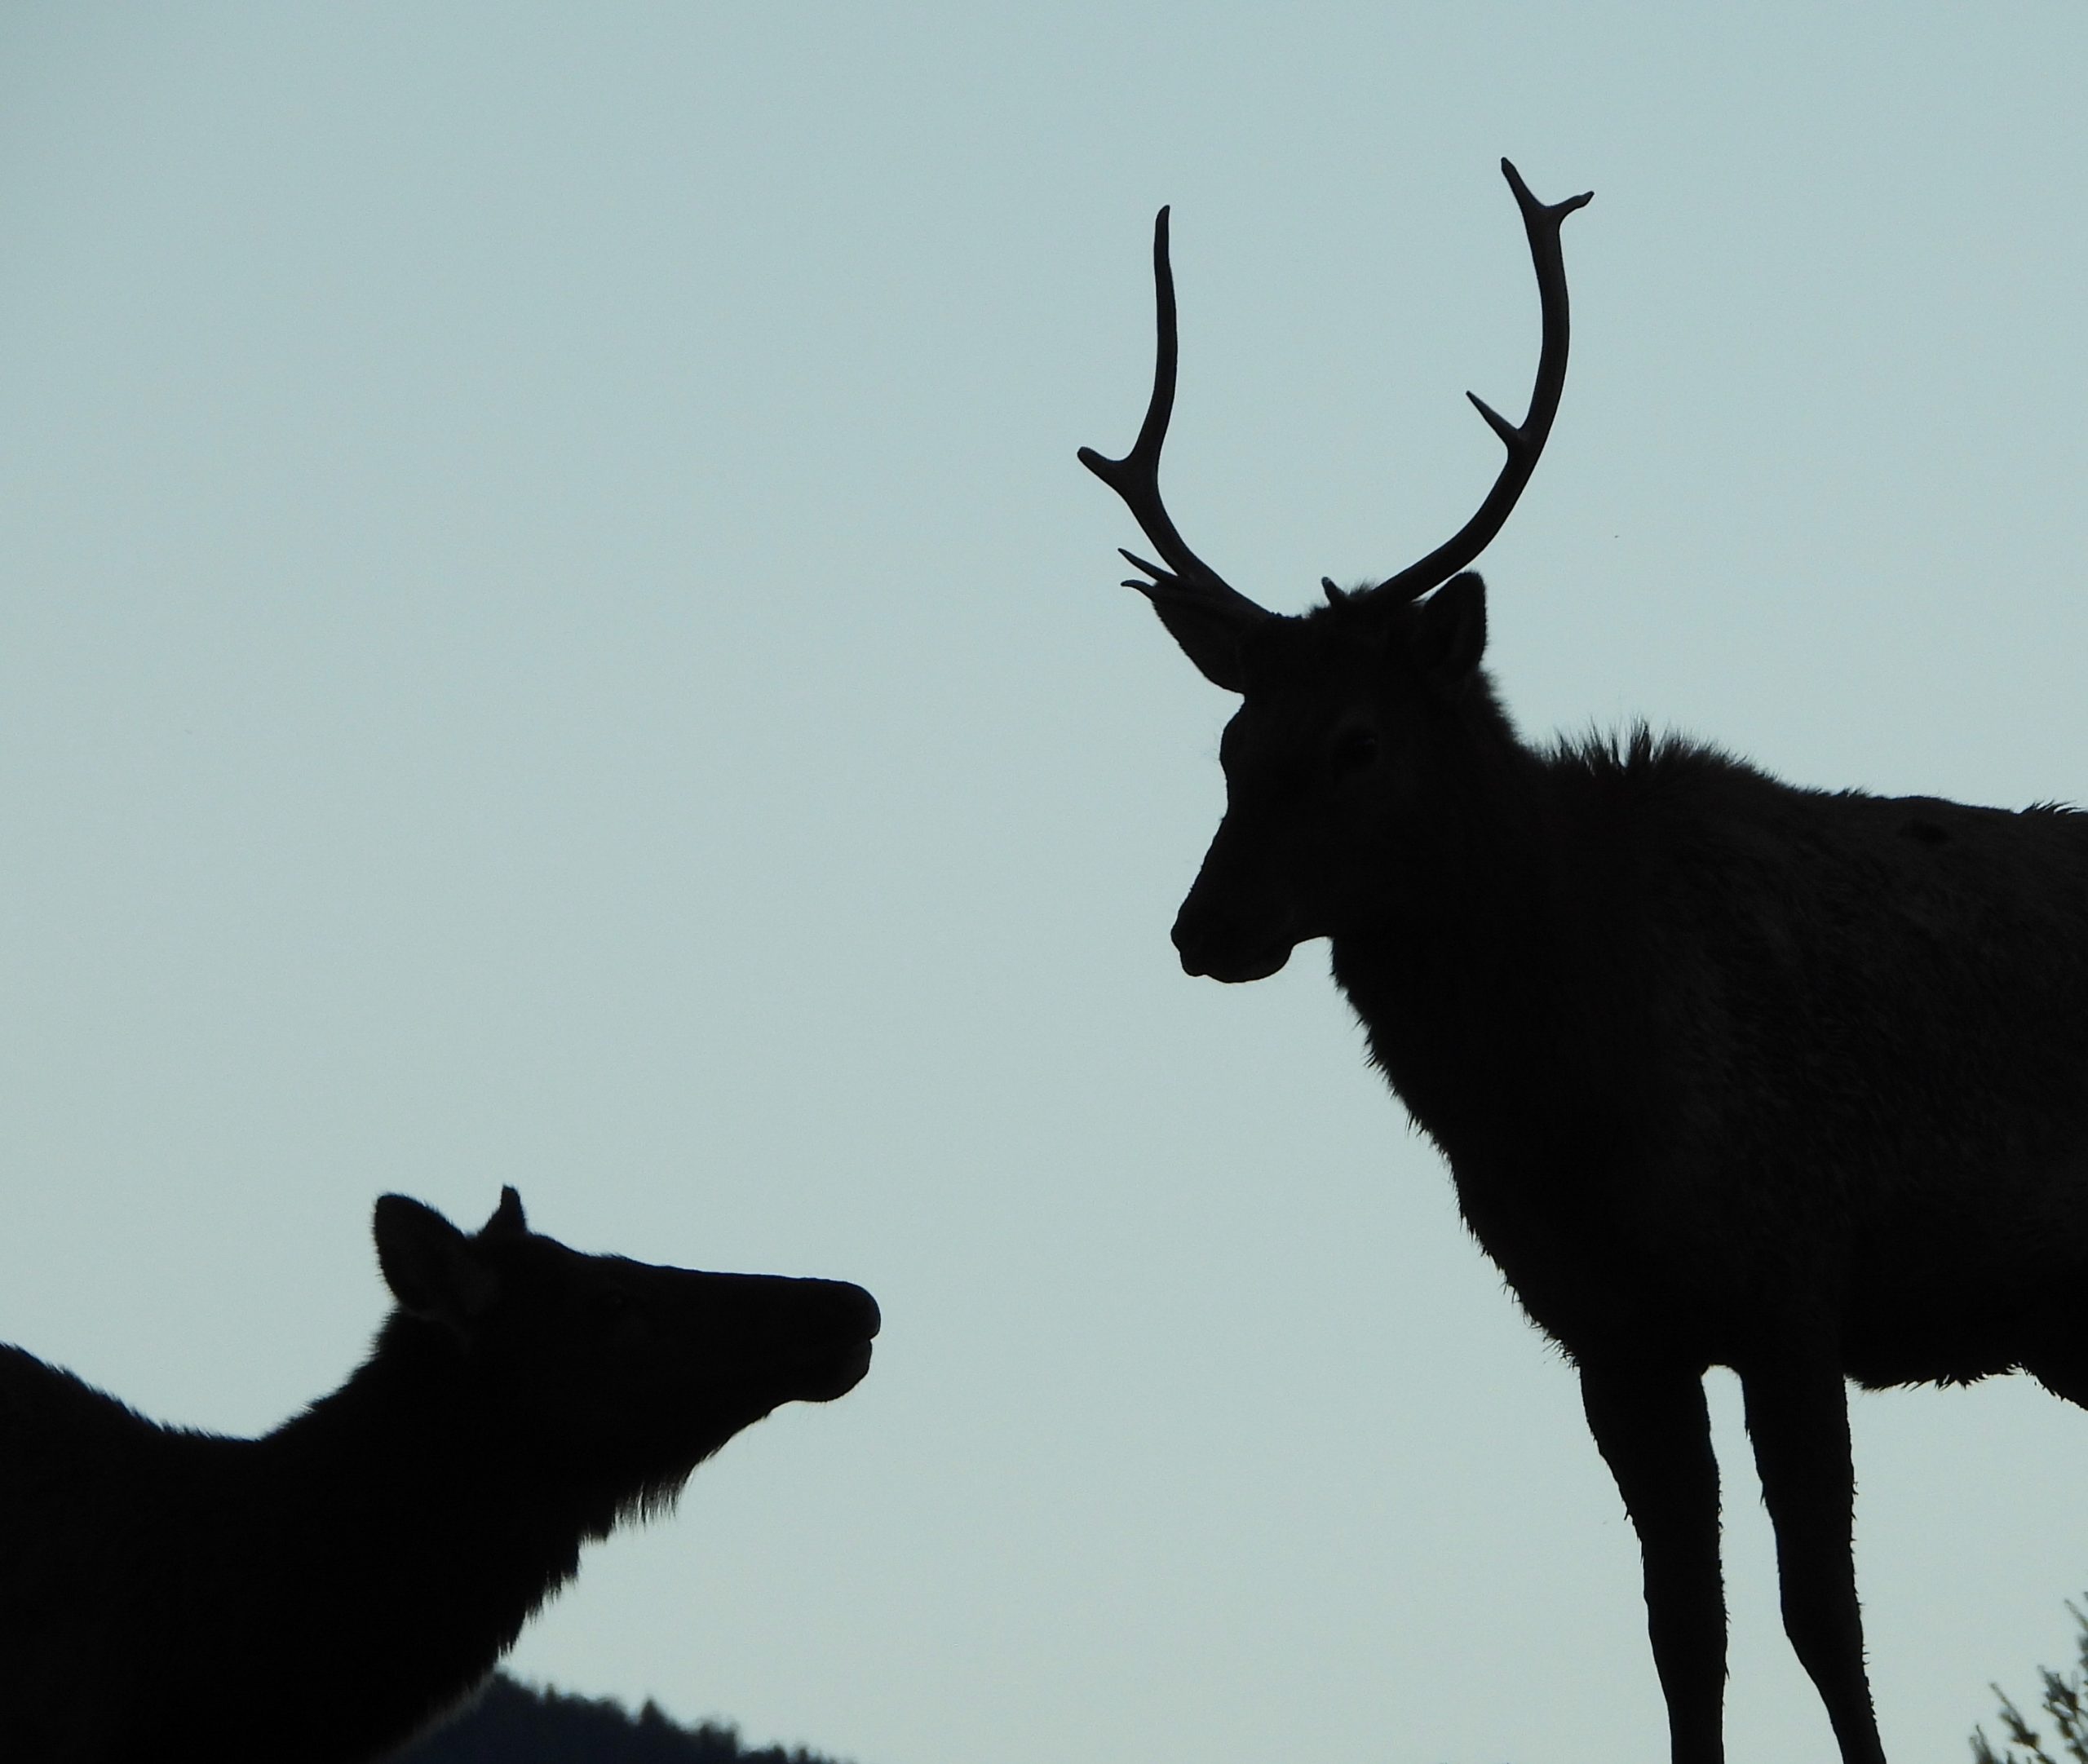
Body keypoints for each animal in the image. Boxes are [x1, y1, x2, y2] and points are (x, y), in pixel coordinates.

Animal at [1086, 158, 2088, 1753]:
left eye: (1356, 742)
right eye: (1233, 743)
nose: (1204, 928)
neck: (1577, 1104)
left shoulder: (1793, 1275)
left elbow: (1826, 1617)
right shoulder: (1611, 1338)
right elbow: (1684, 1632)